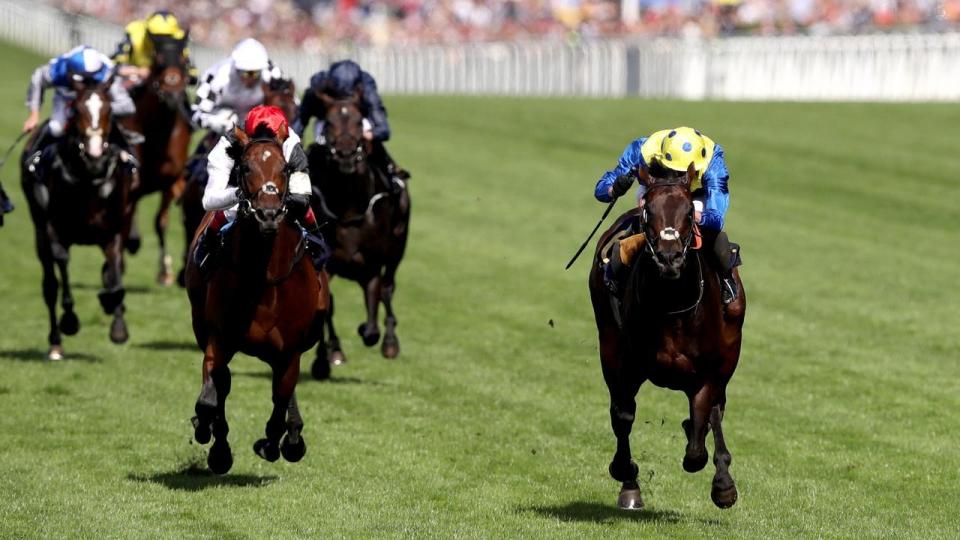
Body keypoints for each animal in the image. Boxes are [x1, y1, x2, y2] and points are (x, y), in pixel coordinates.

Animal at [19, 81, 137, 358]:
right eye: (78, 109)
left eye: (108, 110)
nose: (94, 152)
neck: (89, 180)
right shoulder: (53, 229)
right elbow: (62, 264)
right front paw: (70, 320)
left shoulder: (115, 229)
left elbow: (116, 273)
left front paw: (118, 326)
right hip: (39, 231)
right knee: (50, 285)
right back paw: (55, 342)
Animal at [121, 33, 192, 284]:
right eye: (158, 59)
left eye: (184, 60)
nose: (172, 95)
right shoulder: (132, 183)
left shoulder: (169, 181)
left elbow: (161, 222)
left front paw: (166, 271)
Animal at [185, 125, 330, 472]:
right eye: (246, 167)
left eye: (285, 169)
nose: (267, 214)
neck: (263, 280)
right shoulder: (218, 338)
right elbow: (211, 397)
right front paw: (213, 442)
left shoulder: (290, 351)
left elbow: (280, 399)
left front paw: (274, 443)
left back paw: (292, 437)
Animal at [308, 94, 408, 380]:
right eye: (329, 121)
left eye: (357, 120)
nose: (345, 154)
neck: (349, 207)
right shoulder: (327, 265)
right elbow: (326, 306)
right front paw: (327, 356)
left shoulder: (371, 266)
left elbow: (372, 327)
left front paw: (370, 331)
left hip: (397, 250)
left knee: (388, 287)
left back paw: (390, 343)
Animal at [584, 165, 752, 510]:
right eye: (649, 211)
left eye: (689, 212)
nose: (669, 258)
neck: (673, 305)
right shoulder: (624, 362)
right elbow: (622, 415)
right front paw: (626, 476)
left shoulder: (709, 372)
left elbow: (699, 440)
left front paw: (721, 484)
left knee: (715, 412)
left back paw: (723, 480)